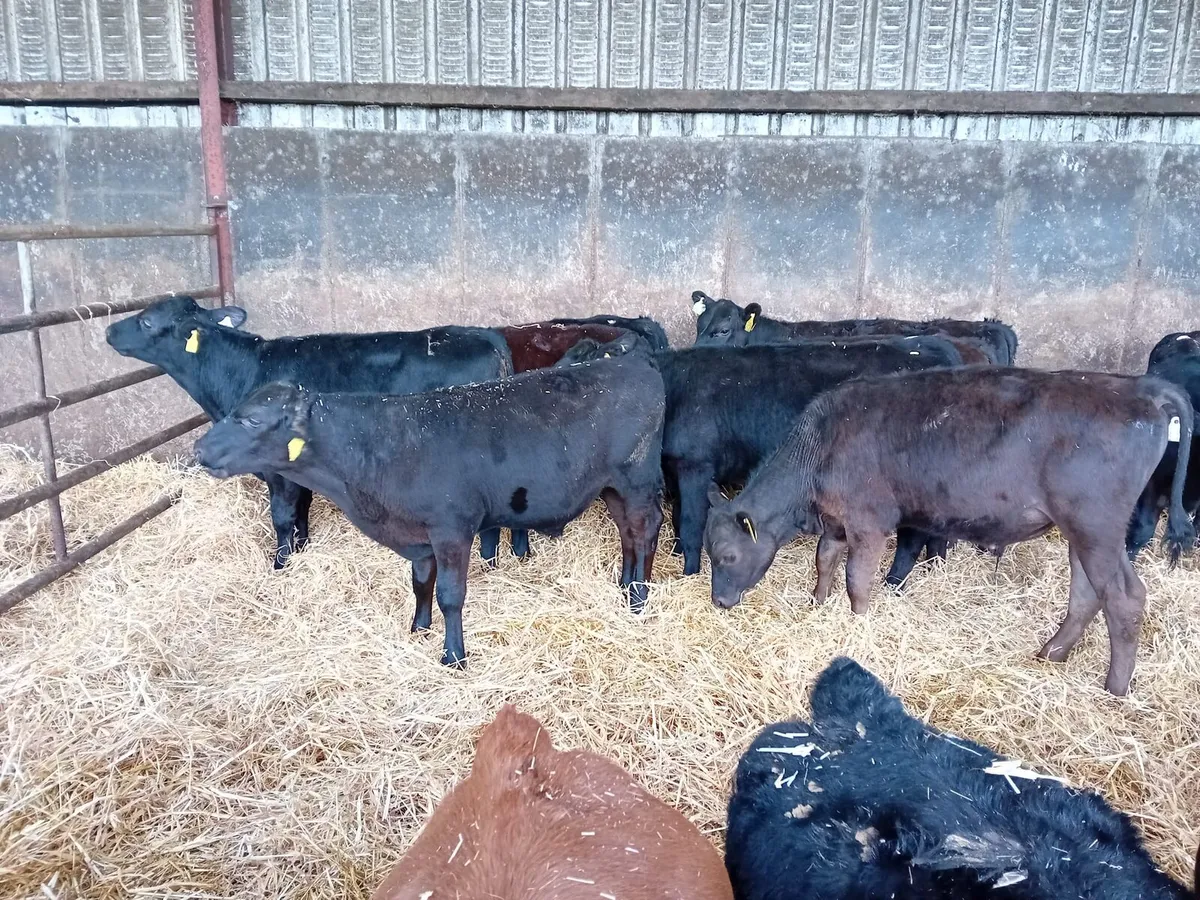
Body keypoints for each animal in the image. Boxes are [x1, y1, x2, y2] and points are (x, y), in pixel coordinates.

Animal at [106, 295, 515, 568]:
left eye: (146, 321)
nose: (109, 329)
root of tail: (484, 334)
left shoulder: (278, 471)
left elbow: (283, 515)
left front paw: (280, 563)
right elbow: (301, 510)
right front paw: (301, 550)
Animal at [192, 355, 665, 667]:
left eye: (252, 419)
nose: (198, 448)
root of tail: (635, 364)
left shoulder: (452, 530)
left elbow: (450, 595)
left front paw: (453, 656)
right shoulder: (418, 537)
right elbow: (421, 585)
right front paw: (418, 629)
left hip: (636, 479)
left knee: (645, 530)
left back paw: (639, 599)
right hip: (611, 487)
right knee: (626, 532)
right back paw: (625, 586)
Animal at [556, 333, 963, 579]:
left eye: (589, 363)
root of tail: (932, 344)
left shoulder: (695, 466)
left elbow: (689, 520)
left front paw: (689, 570)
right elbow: (677, 518)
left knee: (911, 537)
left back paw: (896, 582)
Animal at [704, 367, 1194, 695]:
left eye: (727, 555)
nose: (720, 602)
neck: (817, 449)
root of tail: (1137, 386)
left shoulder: (868, 521)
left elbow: (856, 581)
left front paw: (858, 627)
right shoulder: (838, 521)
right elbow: (824, 560)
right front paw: (817, 606)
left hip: (1097, 525)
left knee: (1124, 598)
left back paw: (1114, 688)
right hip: (1084, 531)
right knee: (1088, 593)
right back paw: (1051, 653)